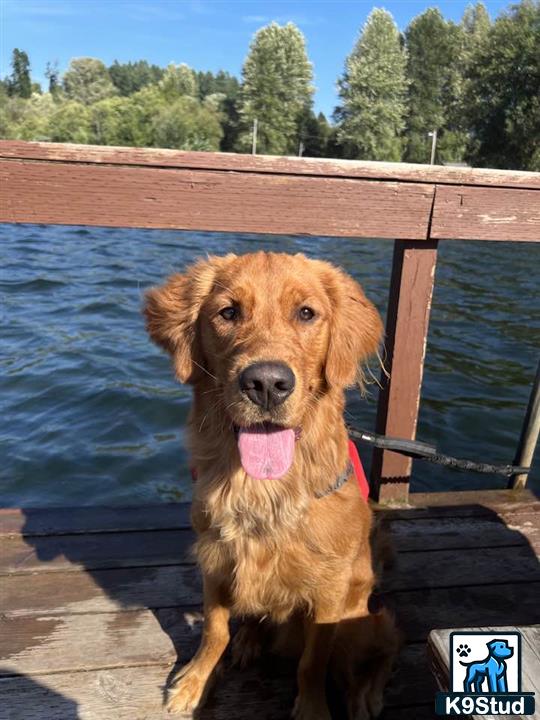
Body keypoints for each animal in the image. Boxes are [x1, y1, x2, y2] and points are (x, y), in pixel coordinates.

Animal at [143, 250, 396, 716]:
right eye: (228, 312)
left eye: (306, 313)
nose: (266, 384)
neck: (263, 489)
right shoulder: (215, 558)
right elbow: (214, 631)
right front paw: (195, 682)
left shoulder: (329, 589)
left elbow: (313, 660)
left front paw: (313, 709)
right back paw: (250, 640)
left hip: (365, 622)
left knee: (387, 643)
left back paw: (365, 695)